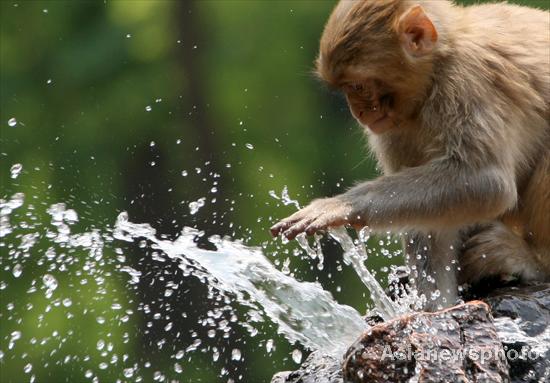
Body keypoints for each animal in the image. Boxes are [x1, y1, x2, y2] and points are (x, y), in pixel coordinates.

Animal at [272, 0, 550, 310]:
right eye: (345, 89)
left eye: (357, 85)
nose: (359, 112)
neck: (438, 68)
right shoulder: (395, 129)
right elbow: (433, 219)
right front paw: (436, 309)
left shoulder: (468, 83)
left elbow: (487, 182)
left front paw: (341, 206)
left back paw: (533, 261)